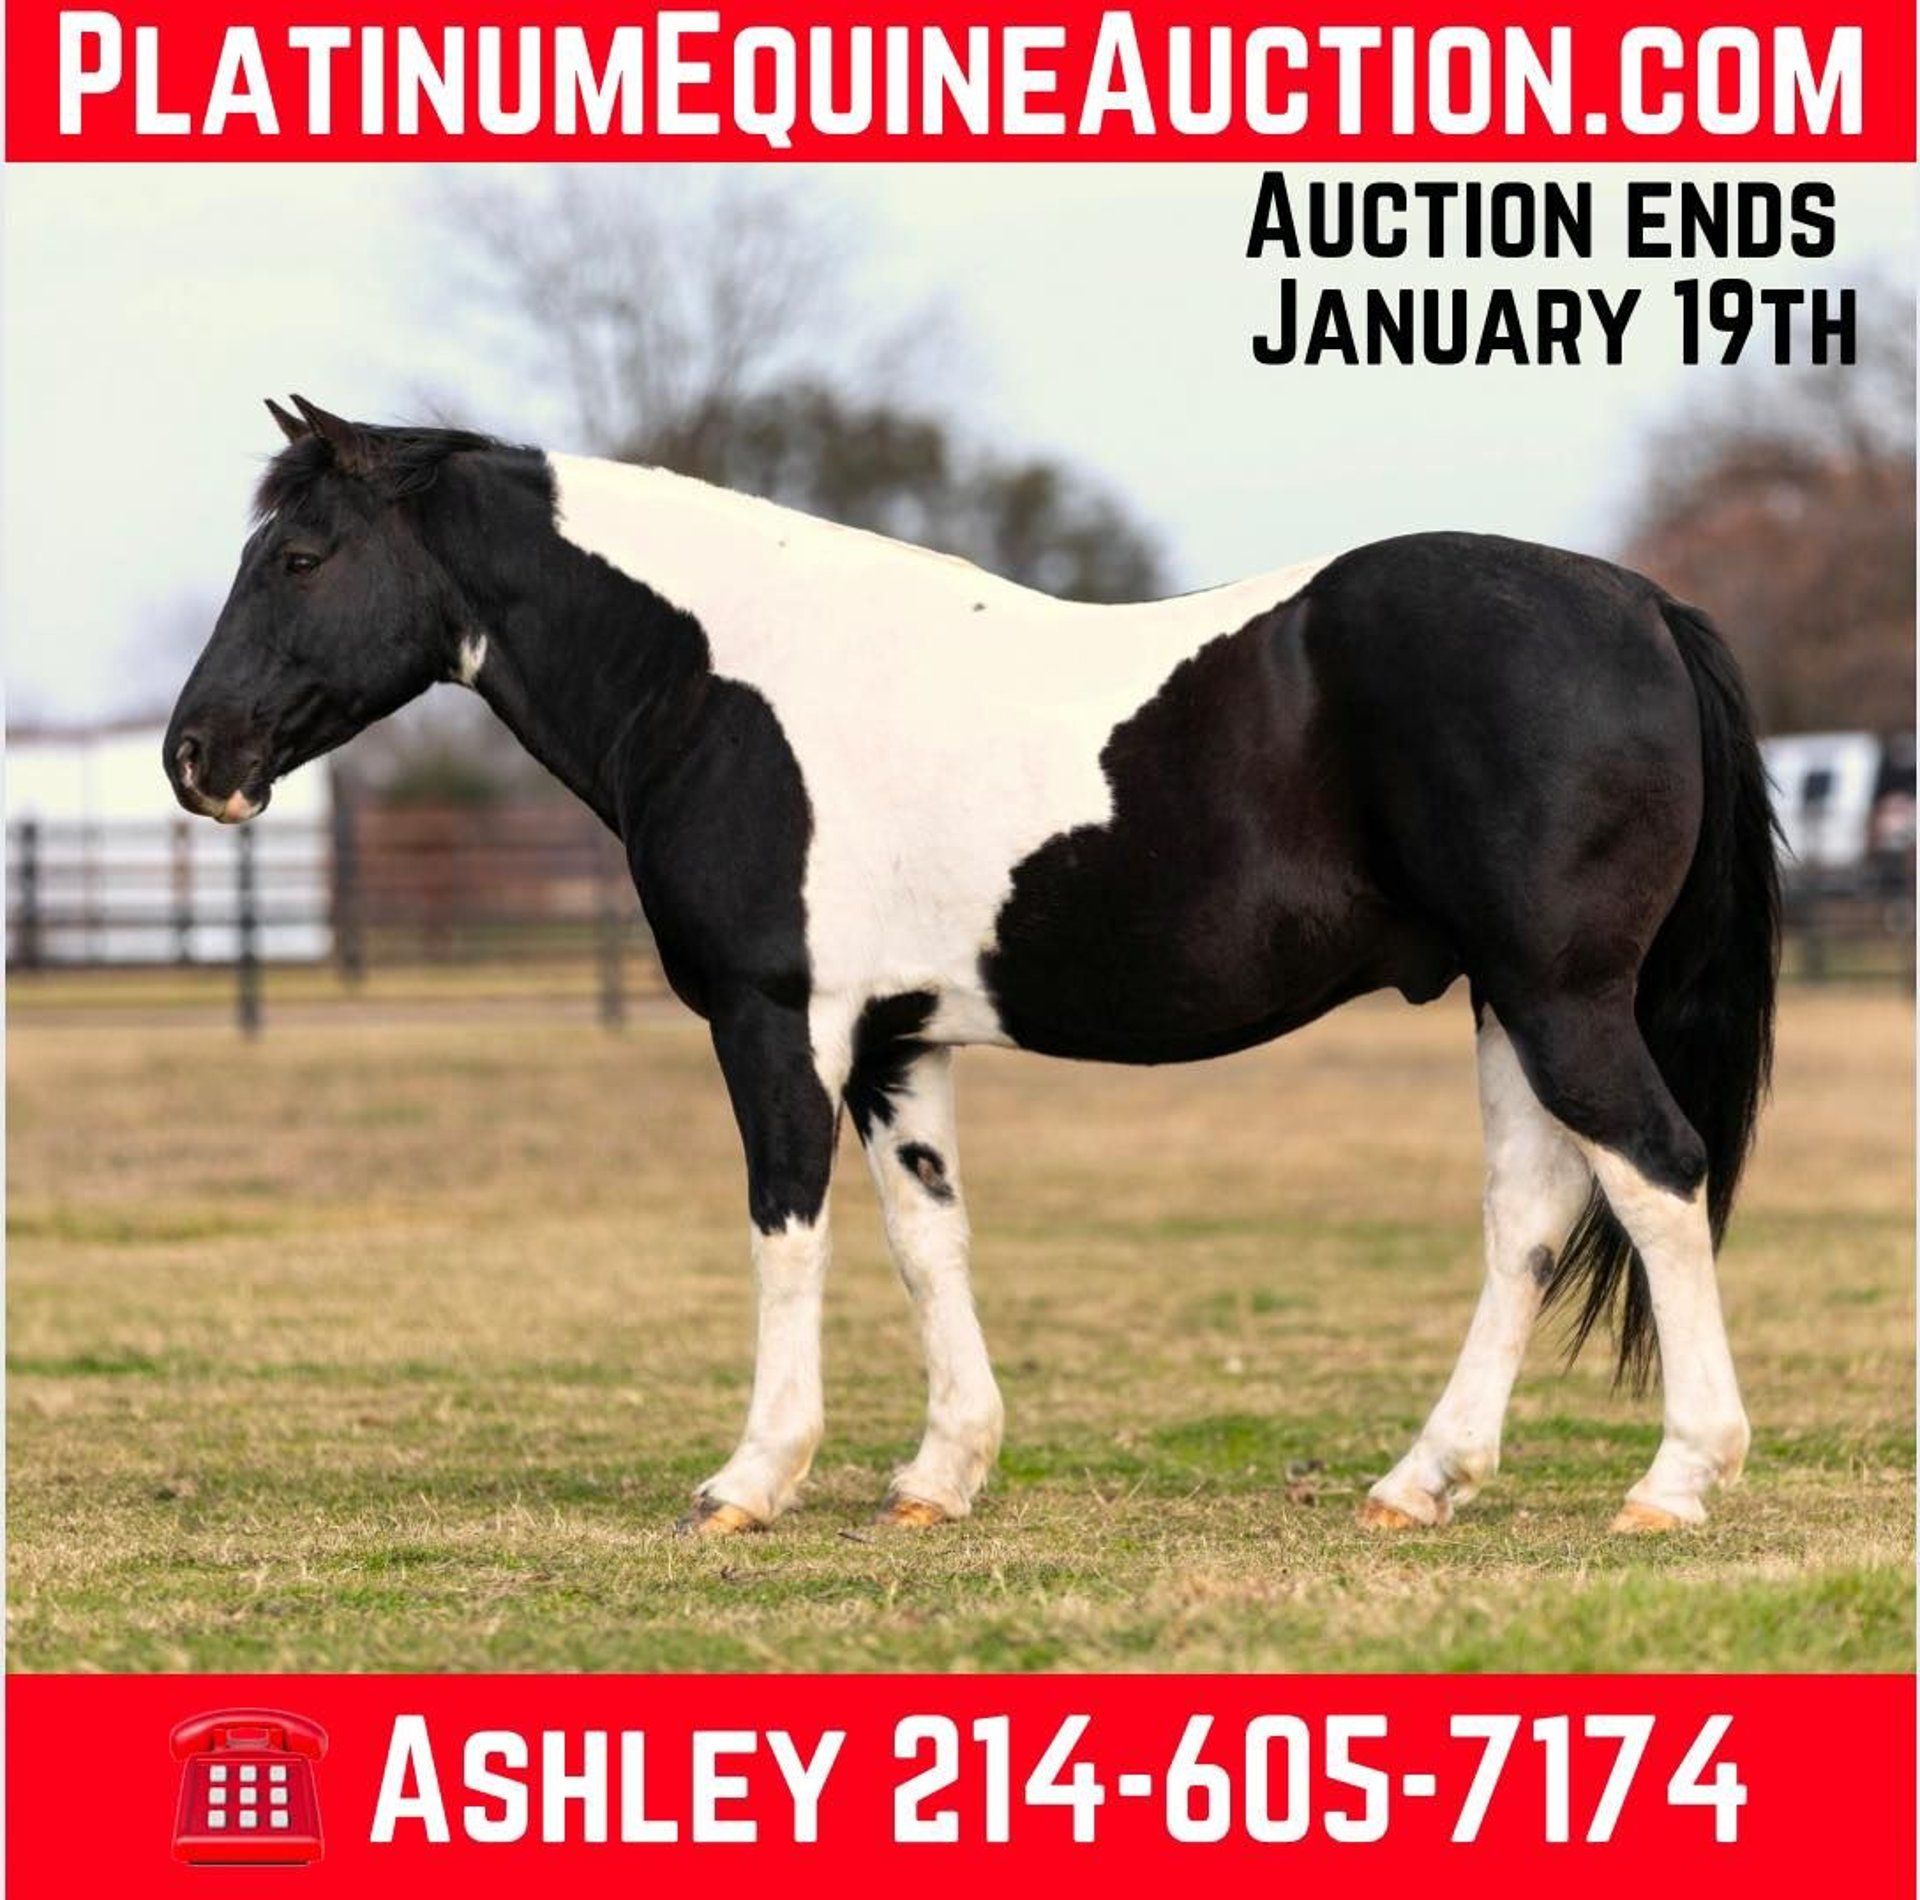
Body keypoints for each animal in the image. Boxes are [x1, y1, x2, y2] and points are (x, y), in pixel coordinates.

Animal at [166, 397, 1779, 1539]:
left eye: (298, 557)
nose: (195, 758)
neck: (719, 677)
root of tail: (1643, 606)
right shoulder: (897, 1043)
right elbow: (923, 1238)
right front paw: (940, 1474)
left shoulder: (776, 1023)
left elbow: (789, 1230)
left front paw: (750, 1479)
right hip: (1512, 1004)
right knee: (1532, 1213)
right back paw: (1421, 1482)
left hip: (1562, 1000)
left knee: (1656, 1176)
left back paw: (1674, 1481)